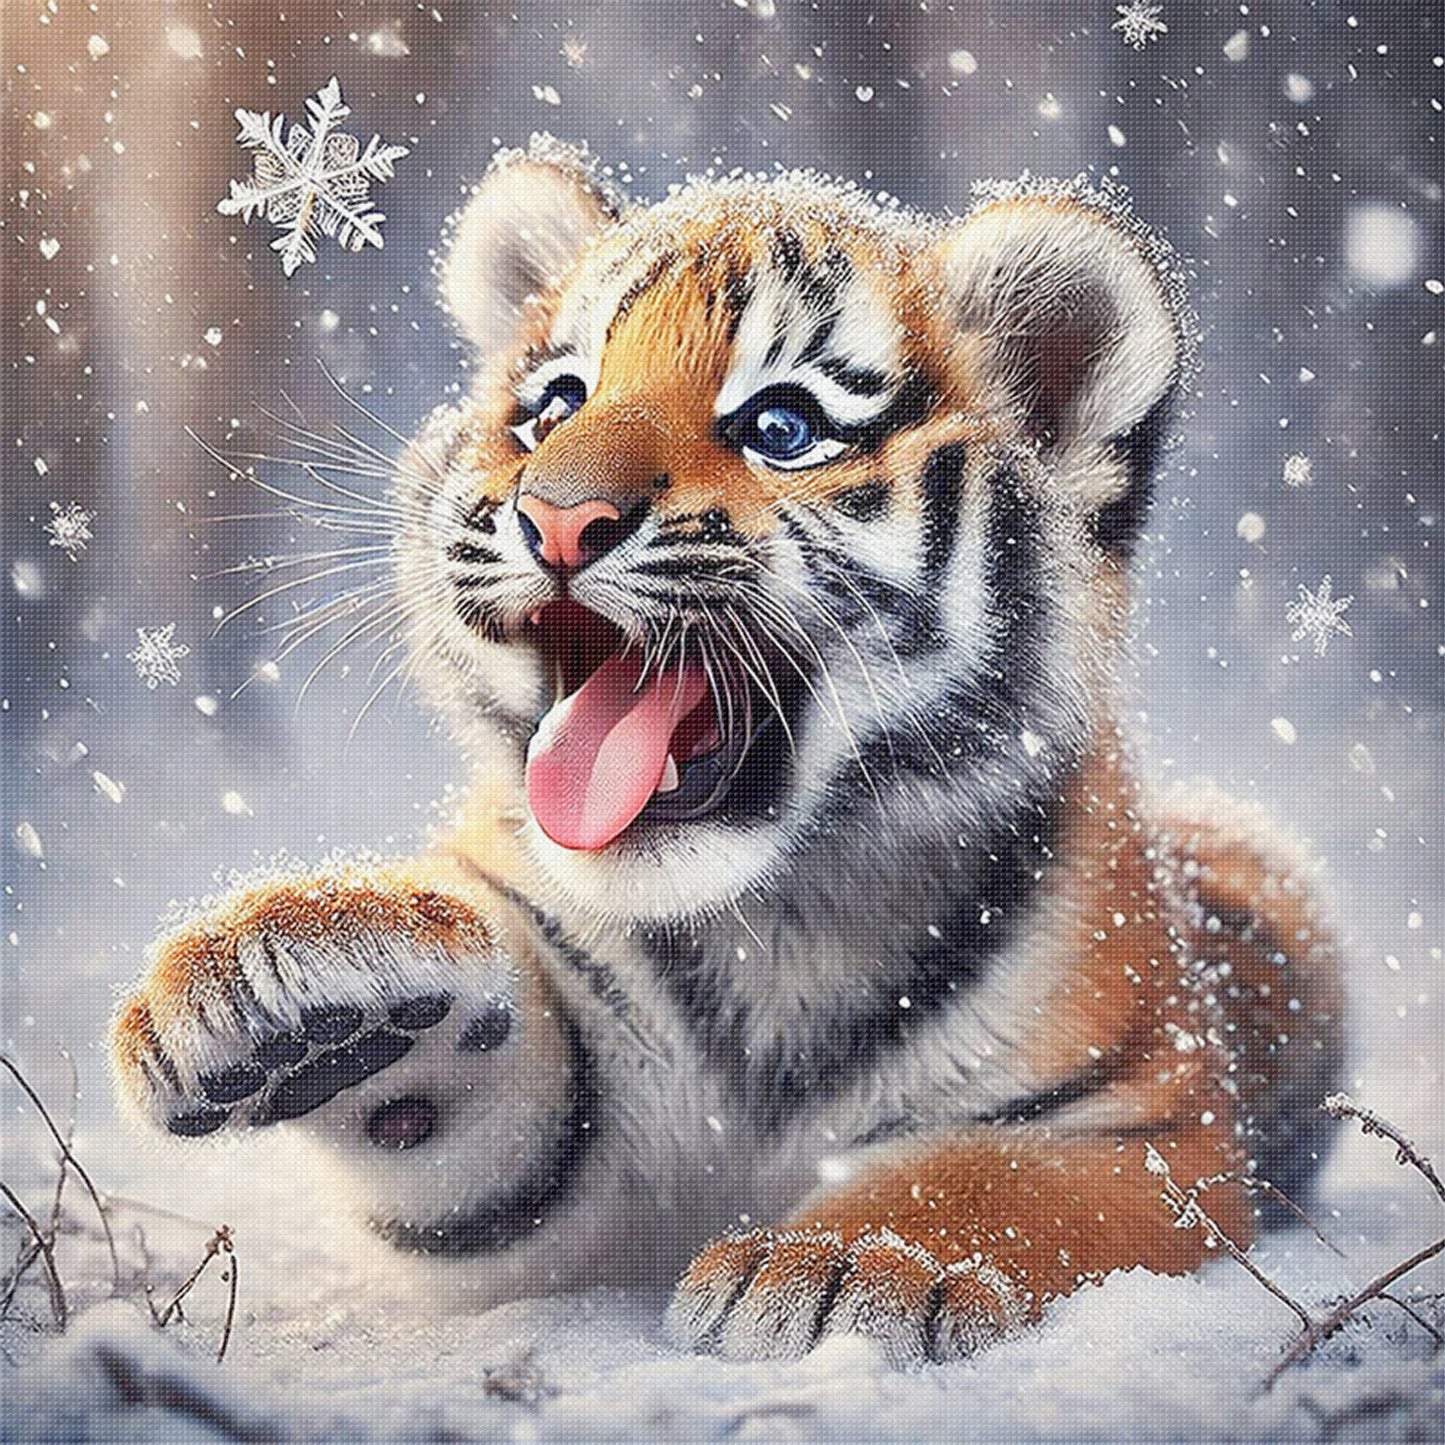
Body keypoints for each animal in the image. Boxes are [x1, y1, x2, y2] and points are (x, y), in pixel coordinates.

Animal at [110, 137, 1345, 1364]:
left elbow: (986, 1175)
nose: (556, 519)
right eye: (553, 404)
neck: (777, 928)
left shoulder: (1148, 1124)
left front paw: (839, 1263)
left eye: (780, 427)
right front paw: (290, 972)